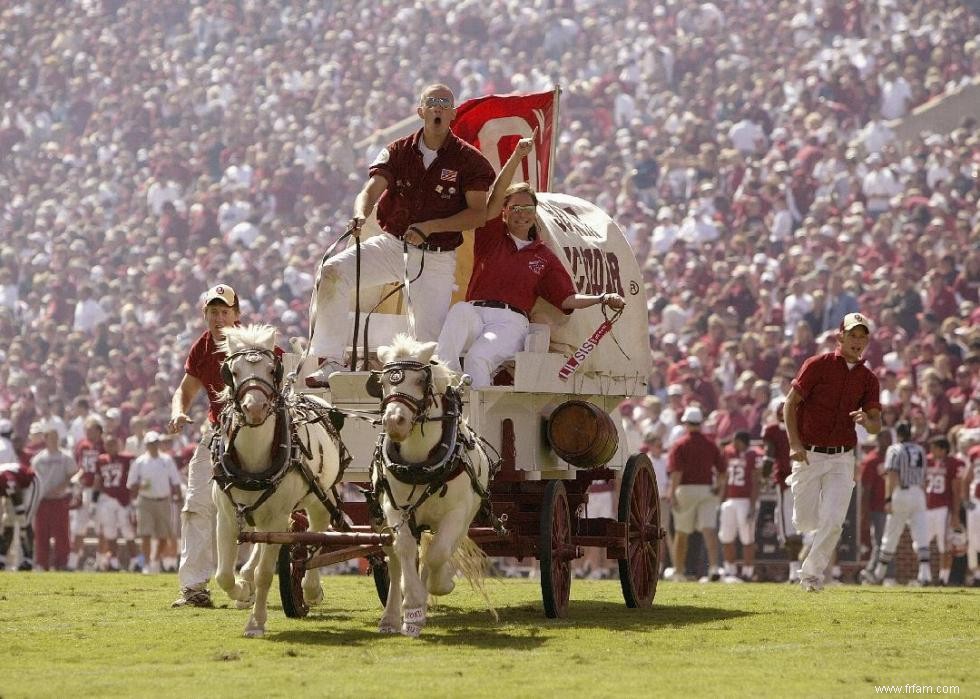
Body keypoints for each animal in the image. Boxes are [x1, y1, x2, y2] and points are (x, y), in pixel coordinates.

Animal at [212, 326, 346, 636]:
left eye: (271, 369)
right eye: (232, 371)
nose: (255, 407)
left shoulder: (276, 519)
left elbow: (265, 574)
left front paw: (256, 622)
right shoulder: (226, 515)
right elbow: (223, 574)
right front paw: (241, 590)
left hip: (320, 496)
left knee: (317, 533)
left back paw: (311, 589)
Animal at [372, 334, 494, 640]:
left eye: (419, 381)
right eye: (384, 382)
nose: (394, 421)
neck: (420, 465)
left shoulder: (457, 514)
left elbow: (438, 553)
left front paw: (439, 586)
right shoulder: (394, 509)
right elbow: (404, 550)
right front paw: (412, 605)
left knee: (437, 550)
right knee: (395, 560)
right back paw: (392, 617)